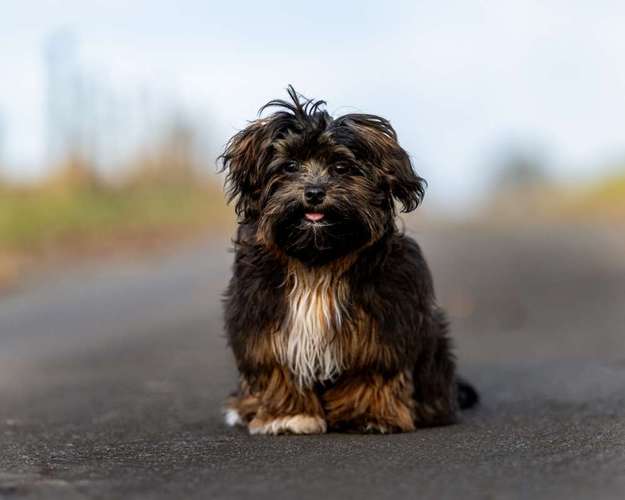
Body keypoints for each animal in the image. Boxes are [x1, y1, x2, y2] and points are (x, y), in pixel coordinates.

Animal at [219, 86, 478, 434]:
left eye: (341, 167)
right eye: (290, 166)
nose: (314, 192)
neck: (318, 260)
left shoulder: (382, 320)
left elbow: (370, 369)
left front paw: (369, 415)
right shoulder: (264, 319)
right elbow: (277, 368)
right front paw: (288, 416)